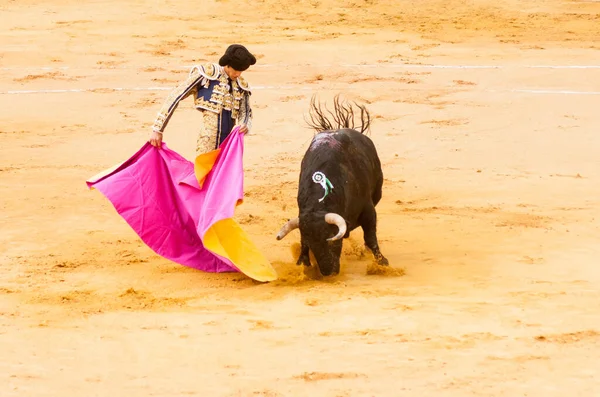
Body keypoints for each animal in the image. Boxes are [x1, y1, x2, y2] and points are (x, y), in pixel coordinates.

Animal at [276, 95, 390, 276]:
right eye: (312, 245)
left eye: (332, 240)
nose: (328, 272)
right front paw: (303, 264)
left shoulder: (368, 210)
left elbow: (370, 236)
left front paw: (382, 262)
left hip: (377, 192)